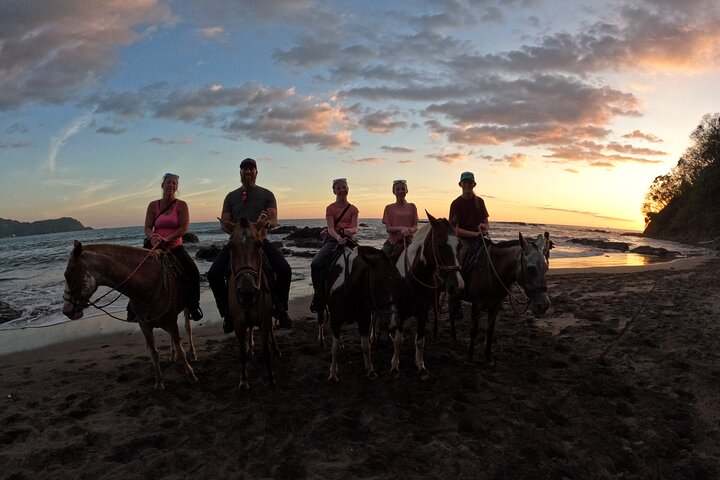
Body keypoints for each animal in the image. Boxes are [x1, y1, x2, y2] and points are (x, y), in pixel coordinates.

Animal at [61, 242, 197, 392]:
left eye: (68, 275)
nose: (66, 311)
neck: (148, 286)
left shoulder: (171, 321)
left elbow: (180, 350)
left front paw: (191, 375)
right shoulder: (145, 325)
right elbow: (154, 353)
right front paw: (159, 382)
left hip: (186, 309)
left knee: (188, 329)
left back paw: (192, 353)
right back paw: (172, 355)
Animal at [222, 218, 278, 390]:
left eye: (259, 245)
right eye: (230, 246)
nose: (247, 291)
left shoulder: (264, 320)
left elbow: (266, 352)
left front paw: (271, 379)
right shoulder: (239, 325)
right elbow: (241, 354)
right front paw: (243, 381)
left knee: (271, 332)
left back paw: (275, 348)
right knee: (251, 329)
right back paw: (250, 347)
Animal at [316, 246, 402, 380]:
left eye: (398, 280)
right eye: (377, 283)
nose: (393, 322)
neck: (349, 288)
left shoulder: (364, 320)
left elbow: (366, 347)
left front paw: (370, 370)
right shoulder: (335, 321)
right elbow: (334, 350)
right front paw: (333, 374)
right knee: (320, 320)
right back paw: (321, 341)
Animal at [390, 212, 464, 380]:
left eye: (459, 246)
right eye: (440, 245)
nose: (458, 286)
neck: (414, 276)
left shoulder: (423, 312)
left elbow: (420, 341)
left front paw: (421, 366)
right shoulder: (400, 313)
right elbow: (398, 340)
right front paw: (395, 366)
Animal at [462, 233, 552, 364]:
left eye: (546, 267)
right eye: (530, 268)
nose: (544, 304)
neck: (491, 268)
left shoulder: (496, 305)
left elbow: (490, 331)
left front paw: (488, 357)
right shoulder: (477, 303)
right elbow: (473, 330)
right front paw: (469, 358)